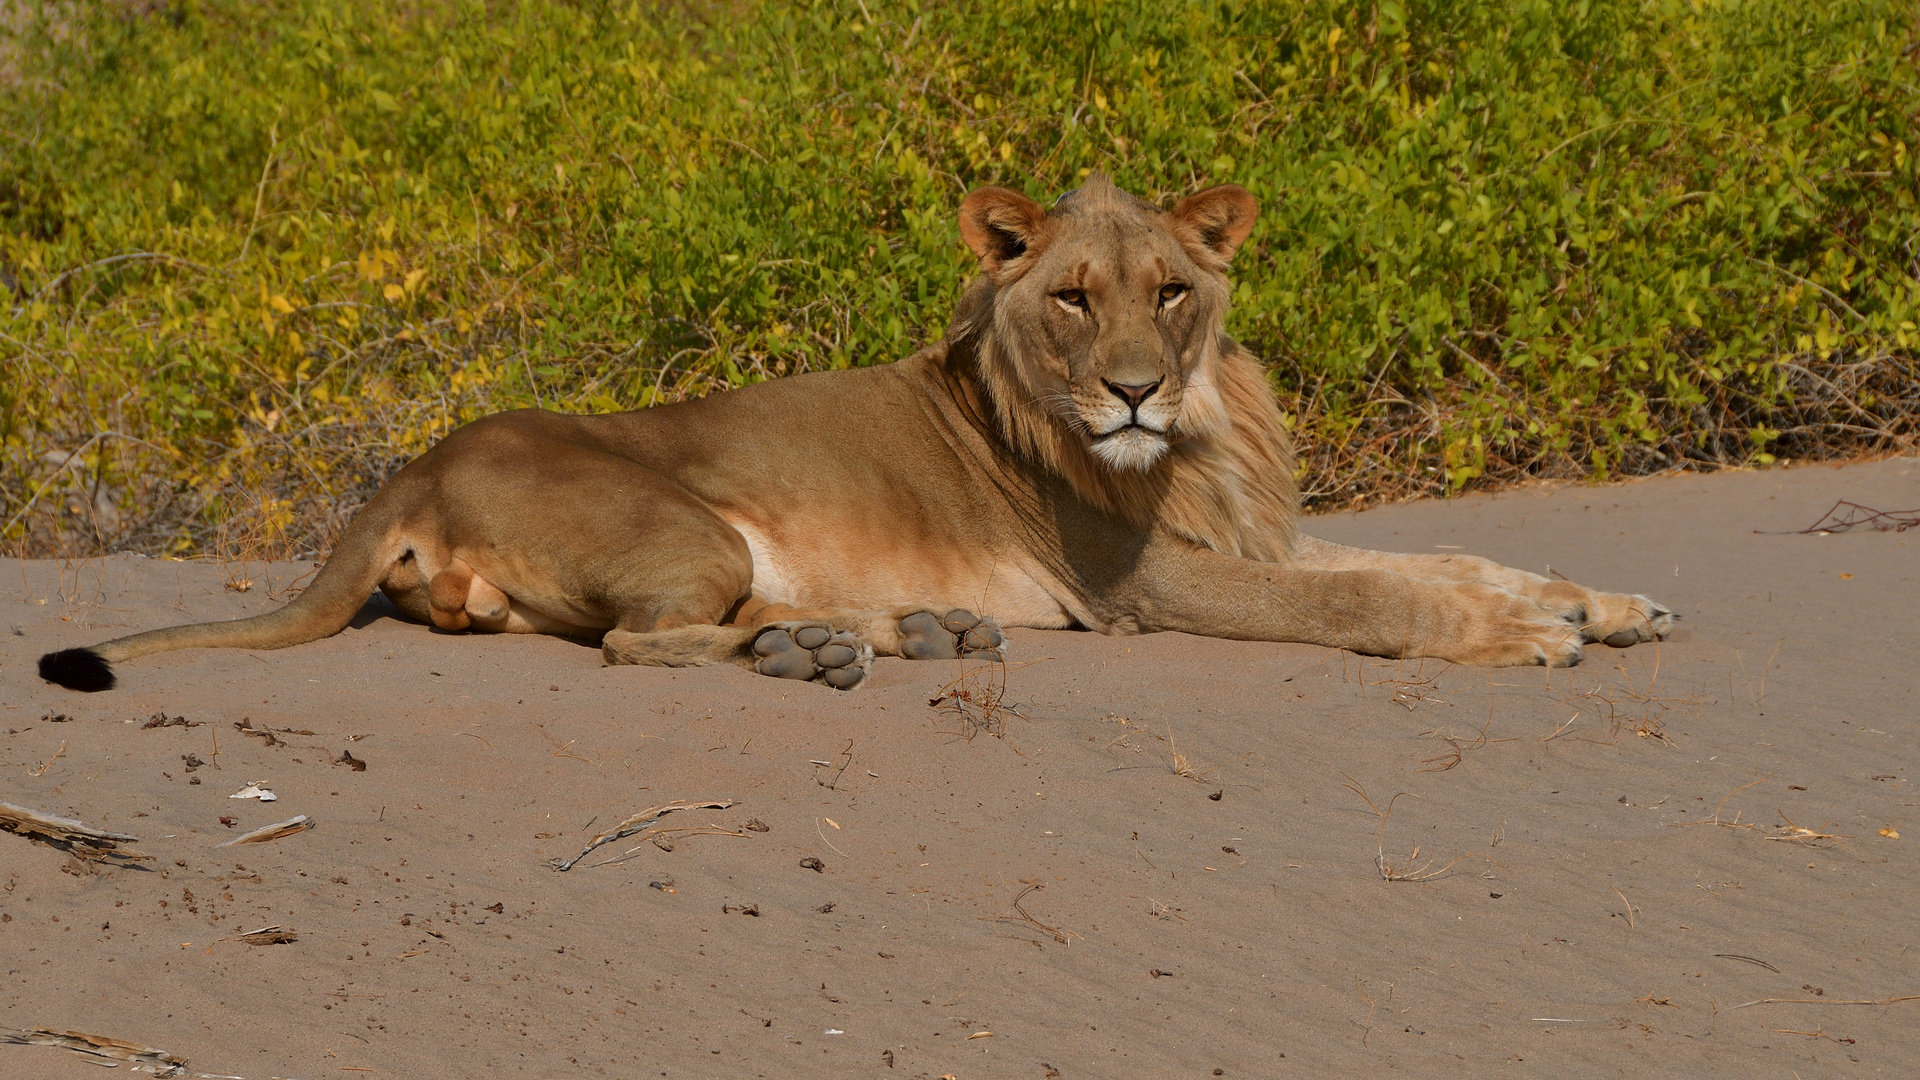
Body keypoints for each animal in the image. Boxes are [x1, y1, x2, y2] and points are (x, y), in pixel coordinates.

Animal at [37, 168, 1674, 687]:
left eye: (1171, 292)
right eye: (1072, 299)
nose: (1133, 389)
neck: (1202, 436)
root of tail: (417, 455)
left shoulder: (1249, 531)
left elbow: (1441, 557)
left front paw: (1600, 601)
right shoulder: (1143, 586)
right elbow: (1377, 600)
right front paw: (1526, 635)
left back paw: (908, 633)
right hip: (690, 529)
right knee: (642, 645)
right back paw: (834, 652)